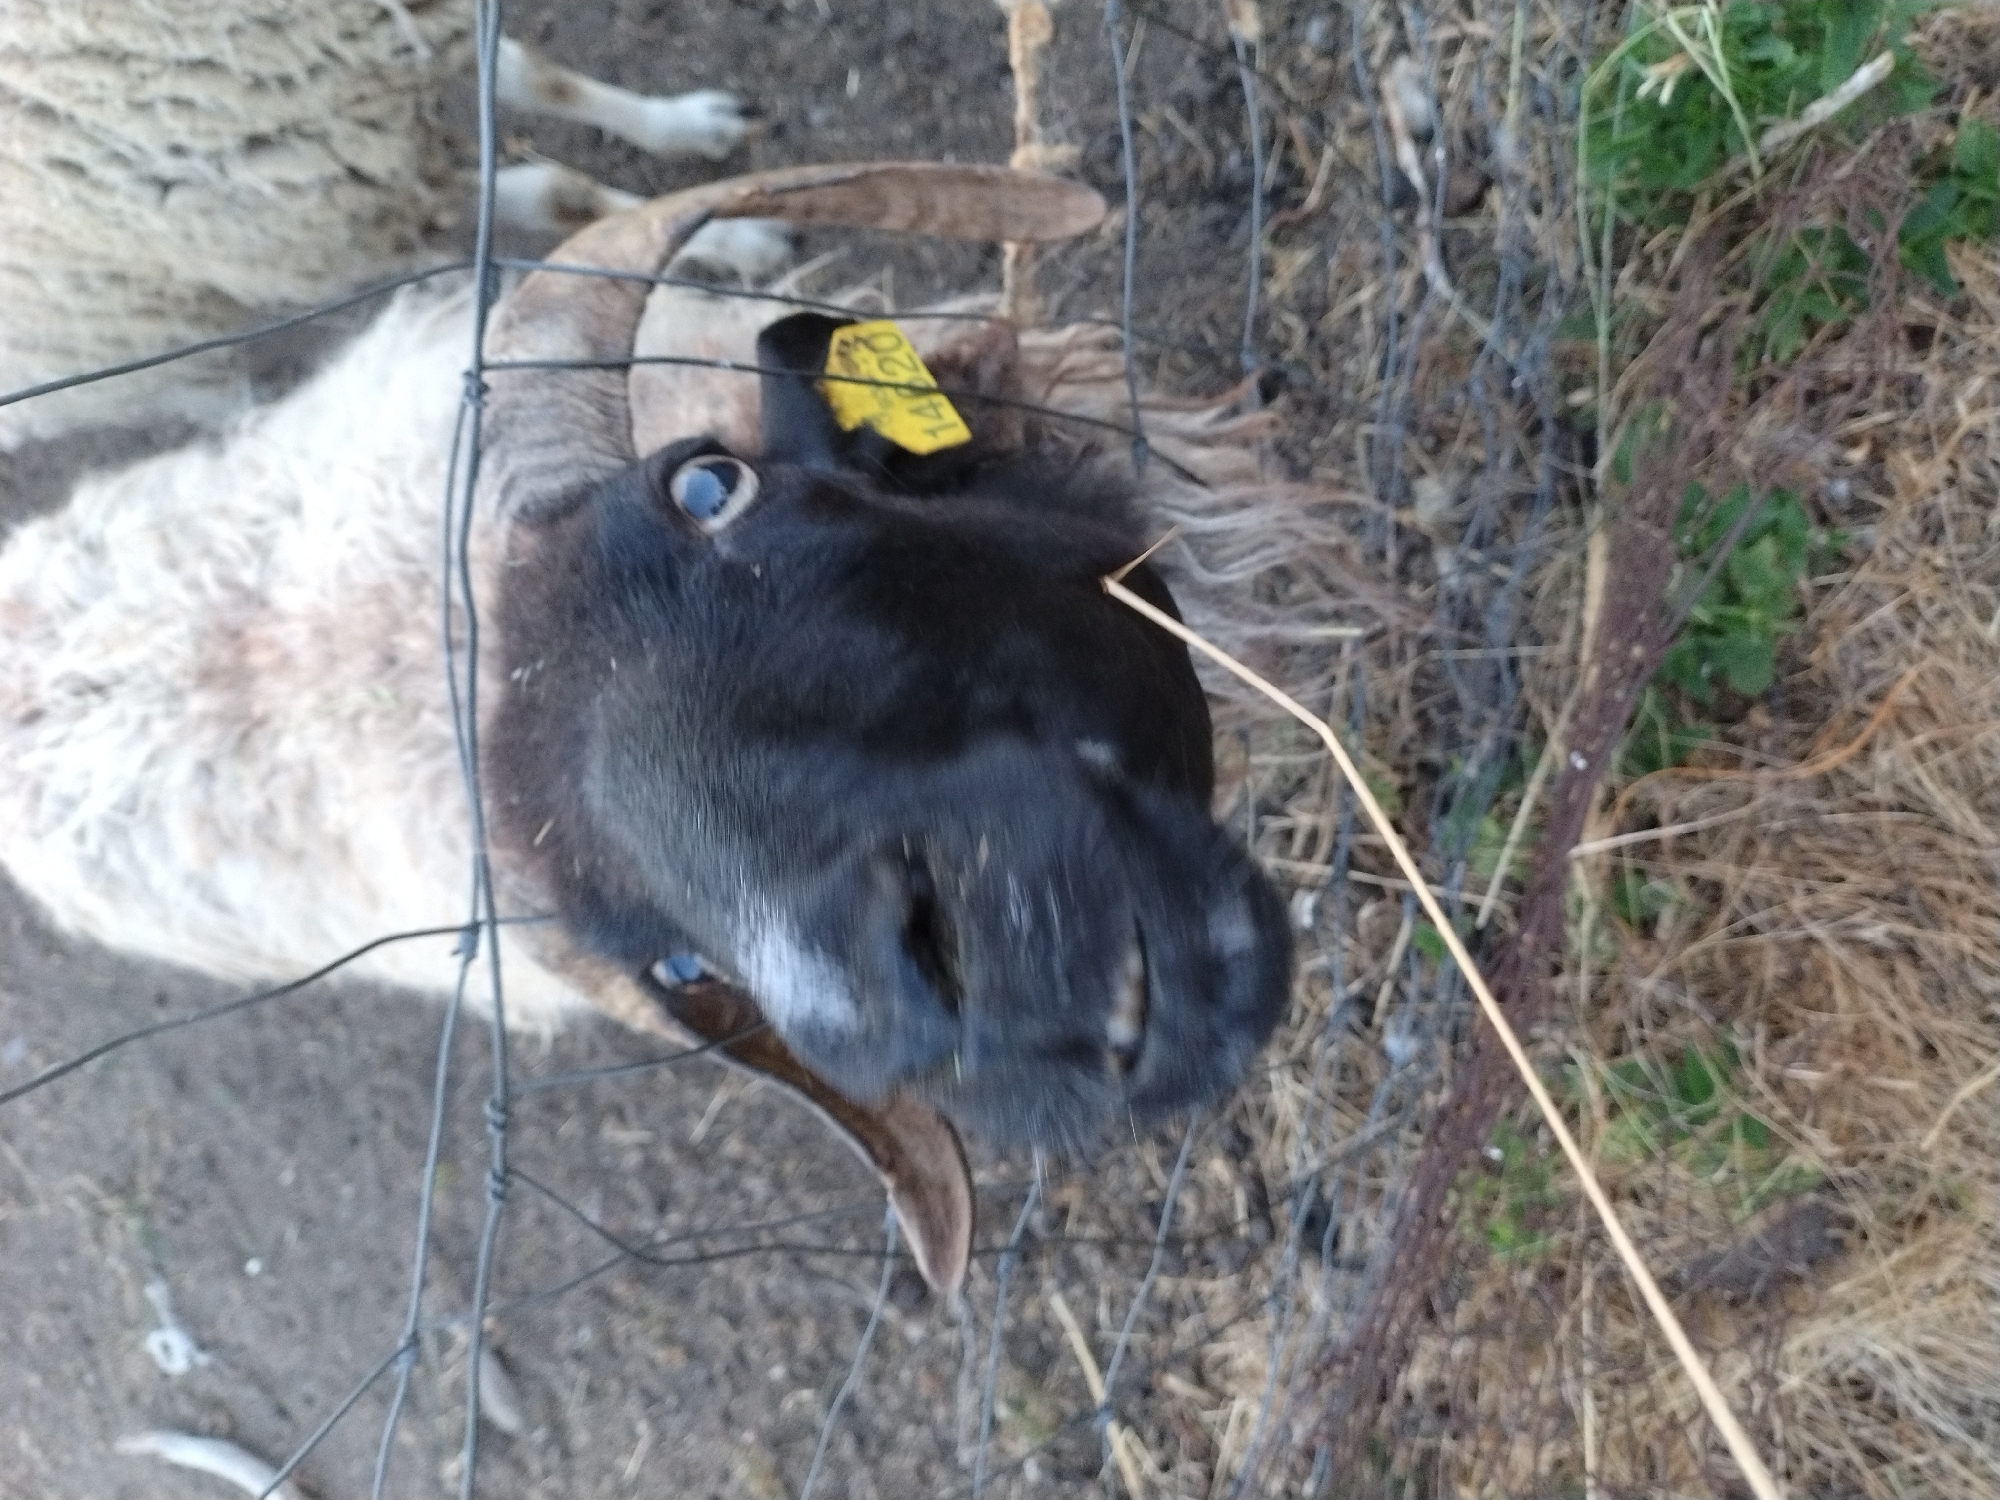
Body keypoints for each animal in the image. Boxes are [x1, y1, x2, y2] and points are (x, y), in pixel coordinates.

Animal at [0, 0, 771, 448]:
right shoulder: (343, 209)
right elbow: (566, 194)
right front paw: (735, 239)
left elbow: (543, 78)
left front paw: (691, 127)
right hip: (124, 363)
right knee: (206, 394)